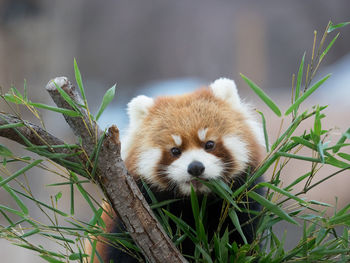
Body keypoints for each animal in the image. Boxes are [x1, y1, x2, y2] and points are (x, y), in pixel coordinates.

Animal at [87, 78, 262, 262]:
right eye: (175, 151)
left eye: (209, 144)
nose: (195, 167)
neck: (195, 204)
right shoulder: (124, 222)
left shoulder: (244, 204)